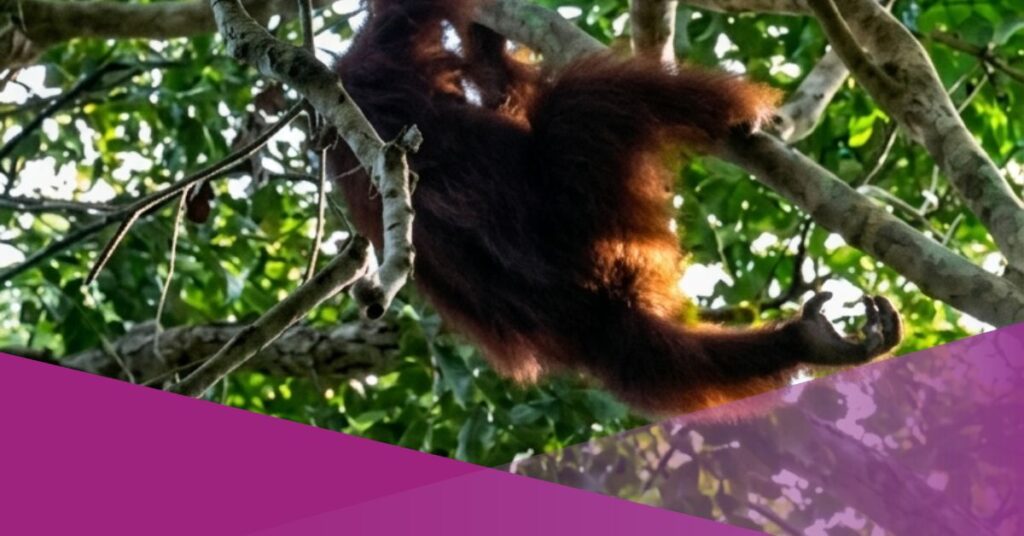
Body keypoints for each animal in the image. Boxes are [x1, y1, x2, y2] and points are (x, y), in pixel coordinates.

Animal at [326, 0, 902, 415]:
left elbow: (496, 81)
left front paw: (489, 41)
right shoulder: (385, 58)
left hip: (591, 313)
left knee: (648, 355)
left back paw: (809, 343)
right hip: (592, 207)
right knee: (589, 98)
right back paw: (742, 113)